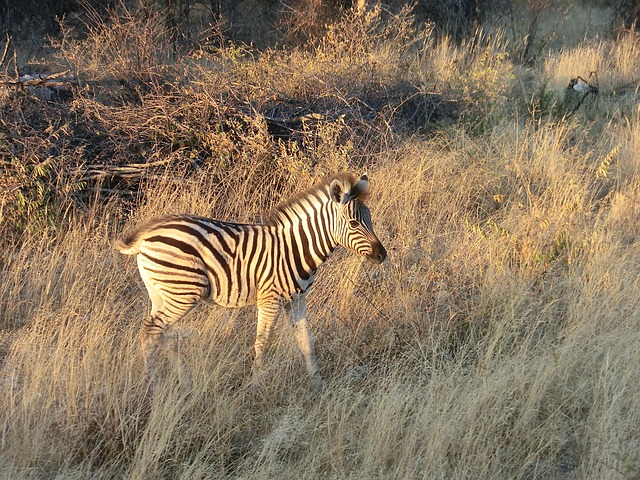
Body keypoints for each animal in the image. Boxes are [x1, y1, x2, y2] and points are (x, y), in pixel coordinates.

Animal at [114, 172, 384, 386]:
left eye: (370, 219)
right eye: (353, 223)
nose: (382, 255)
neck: (296, 248)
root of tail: (147, 235)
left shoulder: (297, 299)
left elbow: (306, 340)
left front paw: (317, 383)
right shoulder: (270, 298)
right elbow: (262, 341)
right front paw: (254, 384)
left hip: (161, 293)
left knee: (156, 332)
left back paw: (173, 380)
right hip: (183, 292)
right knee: (152, 329)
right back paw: (158, 383)